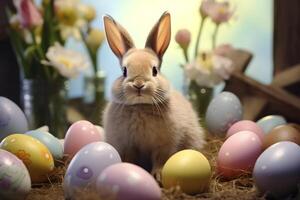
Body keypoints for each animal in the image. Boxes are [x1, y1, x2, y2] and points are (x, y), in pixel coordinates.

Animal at [102, 11, 205, 176]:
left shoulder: (164, 145)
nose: (138, 85)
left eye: (155, 70)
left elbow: (160, 159)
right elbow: (130, 158)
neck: (140, 106)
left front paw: (158, 175)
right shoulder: (127, 145)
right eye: (124, 71)